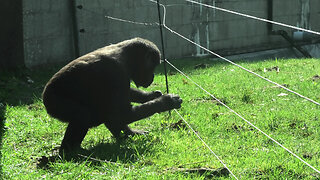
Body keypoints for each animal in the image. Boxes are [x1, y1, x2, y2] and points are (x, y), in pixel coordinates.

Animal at [42, 37, 182, 153]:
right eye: (152, 67)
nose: (152, 76)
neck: (127, 57)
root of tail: (44, 98)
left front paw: (151, 96)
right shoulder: (117, 73)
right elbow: (123, 113)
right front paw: (167, 102)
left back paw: (128, 133)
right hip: (54, 103)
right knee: (83, 115)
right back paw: (70, 152)